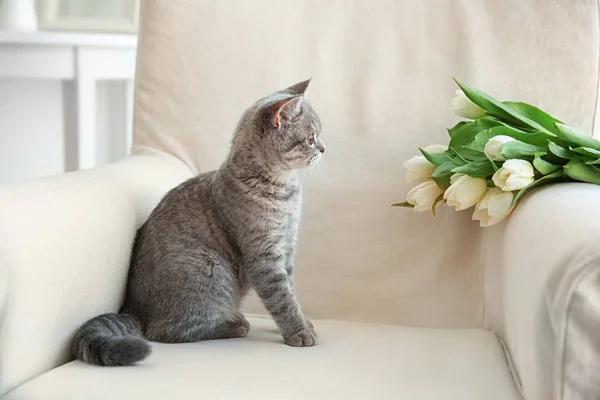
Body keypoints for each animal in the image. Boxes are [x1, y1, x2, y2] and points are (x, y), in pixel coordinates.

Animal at [71, 78, 326, 366]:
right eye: (310, 139)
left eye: (318, 136)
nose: (323, 148)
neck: (284, 192)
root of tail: (134, 309)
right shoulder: (264, 255)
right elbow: (281, 297)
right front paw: (298, 331)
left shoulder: (287, 247)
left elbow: (291, 290)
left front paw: (302, 321)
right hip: (210, 269)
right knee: (165, 331)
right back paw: (235, 324)